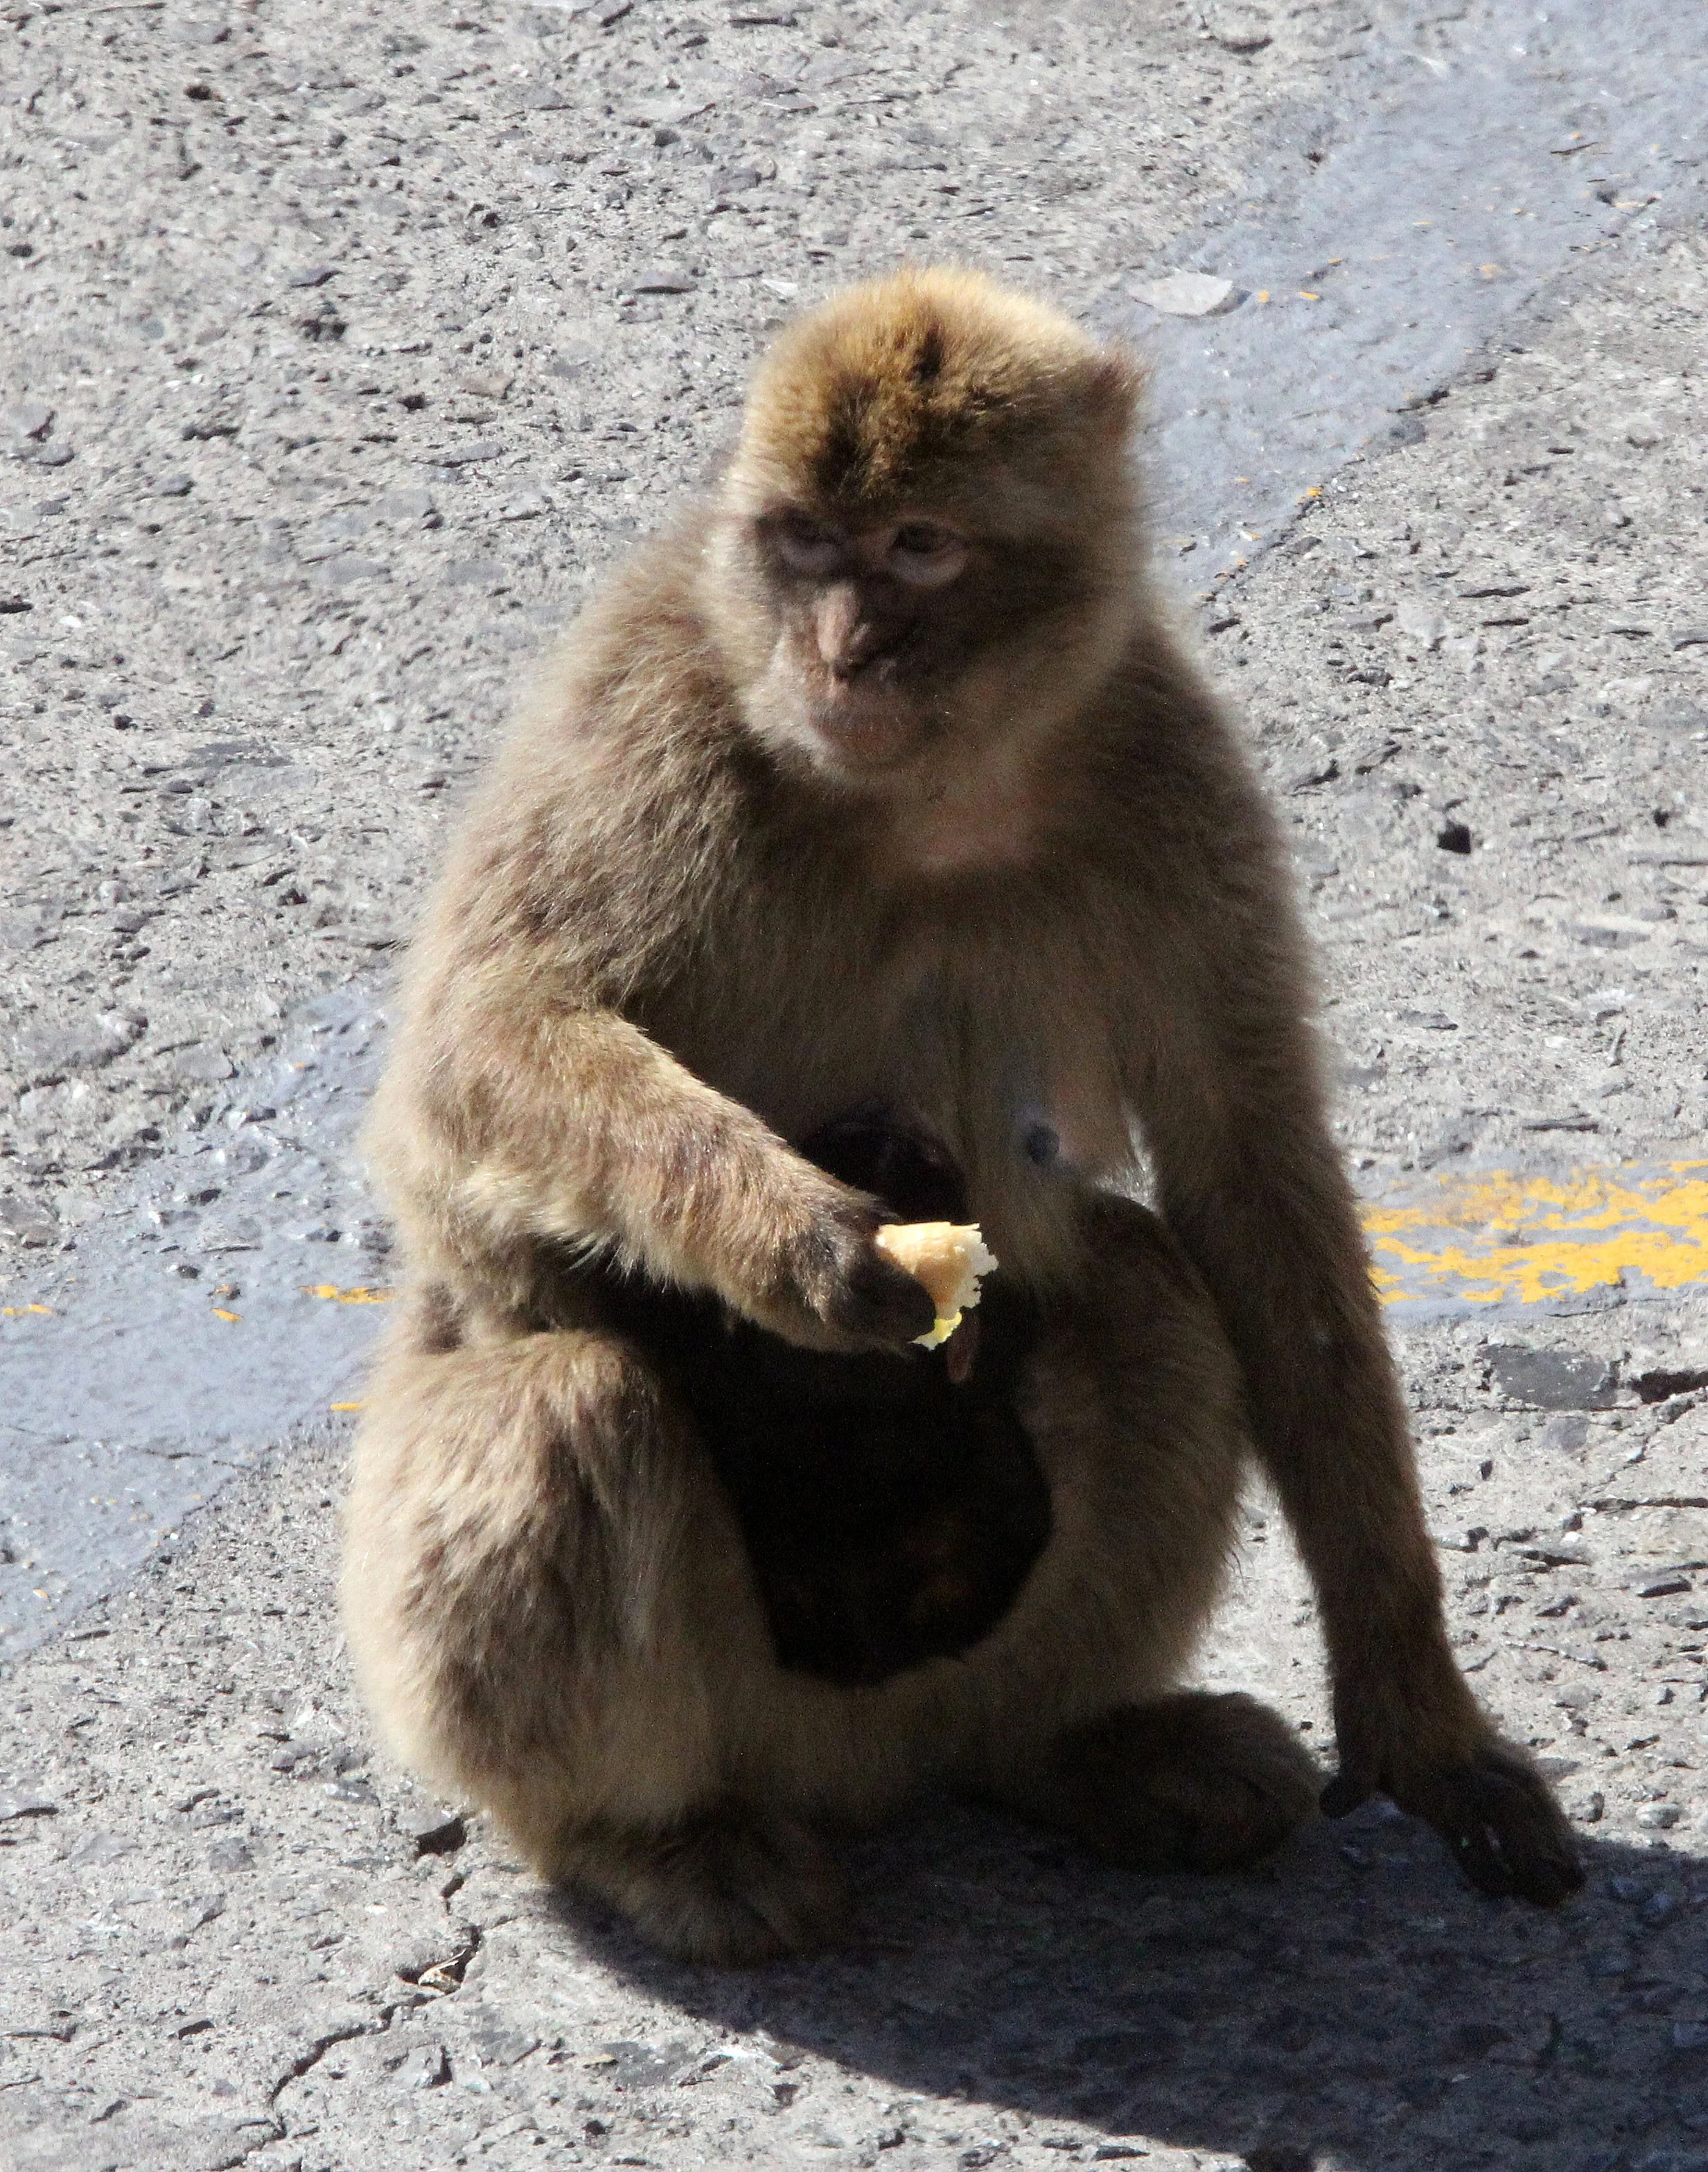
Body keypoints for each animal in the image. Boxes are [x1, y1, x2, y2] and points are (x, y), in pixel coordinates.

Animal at [343, 266, 1582, 1965]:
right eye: (808, 543)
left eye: (918, 546)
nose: (844, 652)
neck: (926, 798)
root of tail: (866, 1769)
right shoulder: (645, 716)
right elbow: (470, 1071)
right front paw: (799, 1244)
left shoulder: (1171, 771)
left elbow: (1249, 1178)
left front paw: (1417, 1718)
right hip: (708, 1689)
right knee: (567, 1405)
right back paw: (648, 1841)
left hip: (948, 1667)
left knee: (1142, 1286)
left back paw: (1062, 1748)